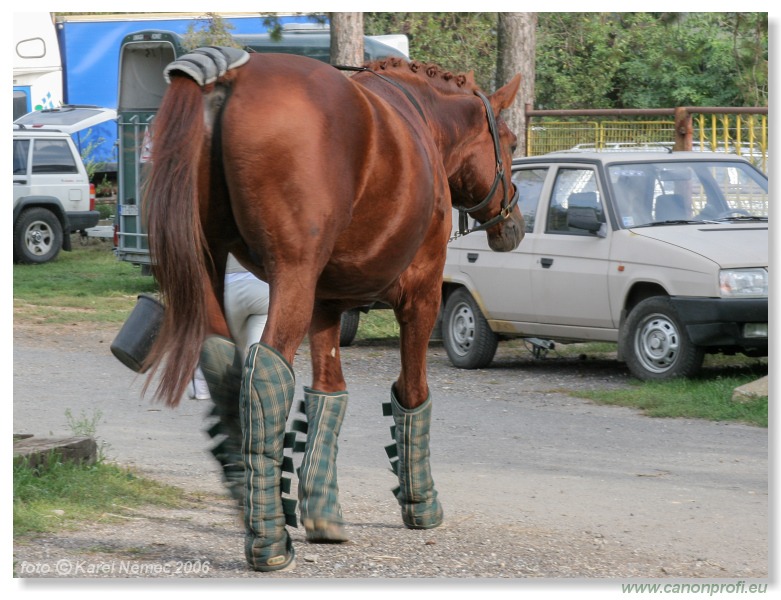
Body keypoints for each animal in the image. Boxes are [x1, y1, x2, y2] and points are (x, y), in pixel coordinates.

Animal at [143, 50, 520, 572]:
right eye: (511, 142)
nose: (514, 223)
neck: (421, 122)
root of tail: (230, 76)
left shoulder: (327, 304)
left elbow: (328, 394)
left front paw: (322, 511)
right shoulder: (421, 293)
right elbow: (413, 390)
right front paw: (420, 501)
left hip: (212, 262)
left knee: (224, 362)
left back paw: (249, 501)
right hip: (292, 275)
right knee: (266, 371)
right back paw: (269, 541)